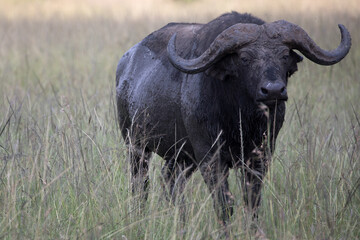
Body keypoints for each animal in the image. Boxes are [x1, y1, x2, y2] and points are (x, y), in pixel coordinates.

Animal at [116, 11, 352, 225]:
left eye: (284, 55)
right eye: (245, 58)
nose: (273, 90)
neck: (240, 119)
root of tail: (125, 64)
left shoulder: (260, 155)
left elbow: (252, 201)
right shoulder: (210, 157)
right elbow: (224, 204)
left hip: (181, 156)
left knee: (170, 181)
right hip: (136, 146)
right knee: (140, 185)